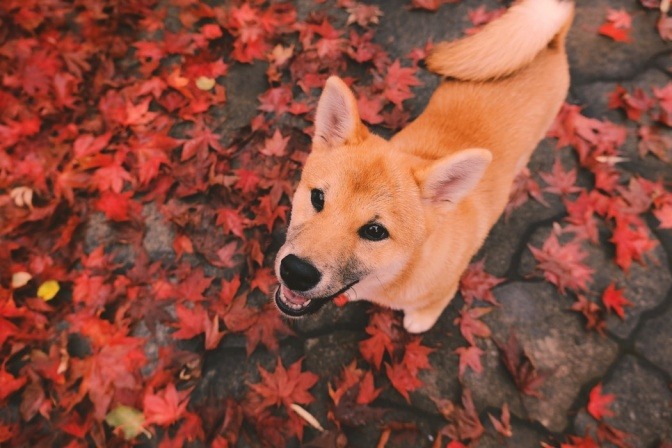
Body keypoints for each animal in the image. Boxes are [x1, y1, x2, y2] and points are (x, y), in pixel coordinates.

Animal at [272, 0, 572, 332]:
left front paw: (420, 318)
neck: (404, 270)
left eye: (375, 231)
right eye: (318, 198)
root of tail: (550, 37)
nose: (295, 272)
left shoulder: (445, 288)